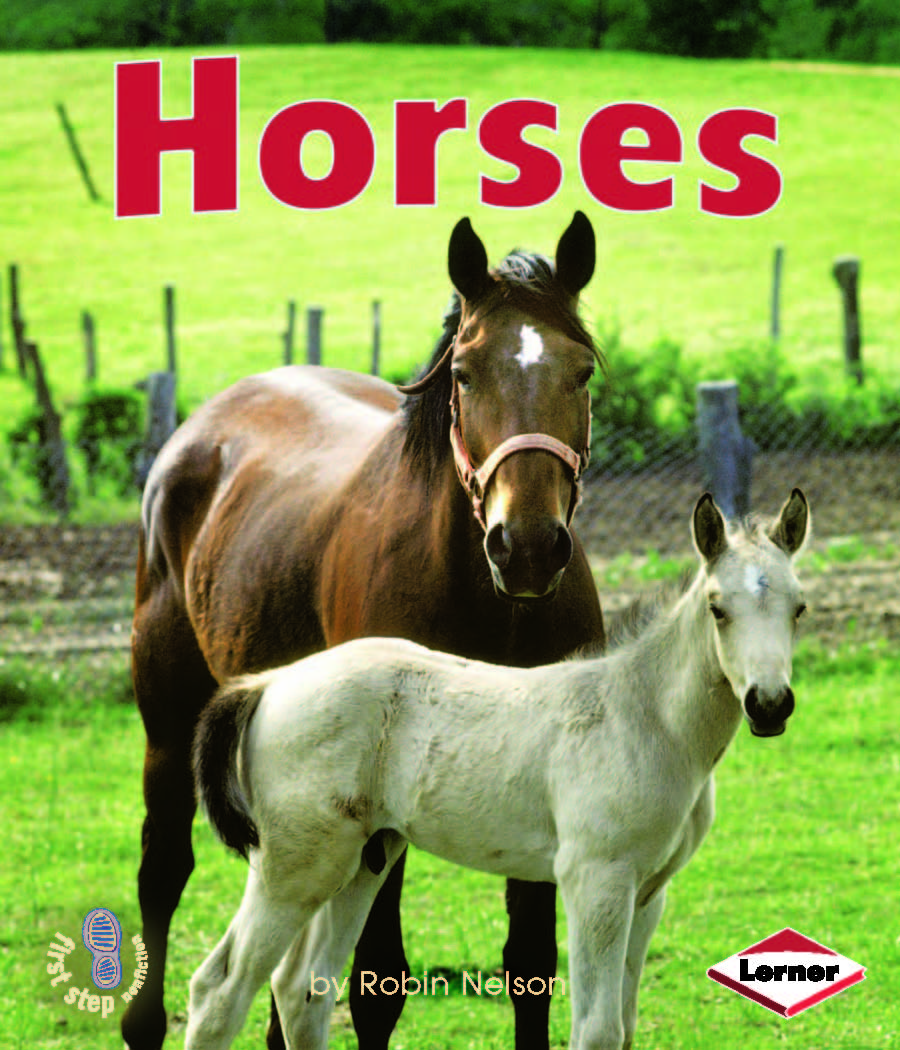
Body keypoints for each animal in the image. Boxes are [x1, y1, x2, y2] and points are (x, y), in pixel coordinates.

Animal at [123, 212, 607, 1050]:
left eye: (580, 371)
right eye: (465, 373)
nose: (527, 545)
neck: (489, 601)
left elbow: (532, 965)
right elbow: (378, 981)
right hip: (172, 722)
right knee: (165, 872)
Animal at [185, 489, 810, 1050]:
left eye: (798, 608)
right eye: (717, 608)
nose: (769, 705)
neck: (645, 717)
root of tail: (270, 683)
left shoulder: (649, 892)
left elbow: (625, 1030)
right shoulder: (595, 879)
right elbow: (598, 1031)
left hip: (361, 861)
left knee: (300, 990)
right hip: (293, 866)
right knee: (219, 991)